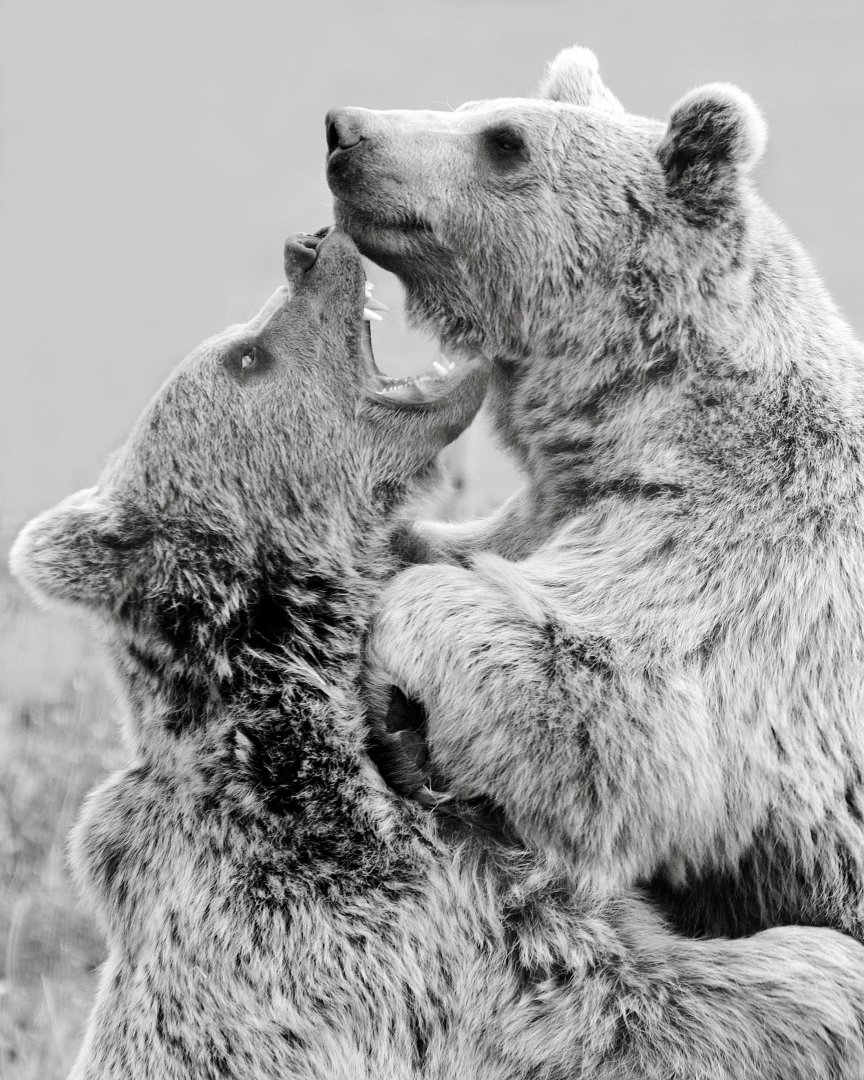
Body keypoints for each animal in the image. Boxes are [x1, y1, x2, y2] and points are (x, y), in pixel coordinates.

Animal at [326, 46, 864, 943]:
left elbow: (605, 699)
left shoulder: (751, 563)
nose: (346, 131)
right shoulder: (552, 506)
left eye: (504, 142)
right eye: (470, 106)